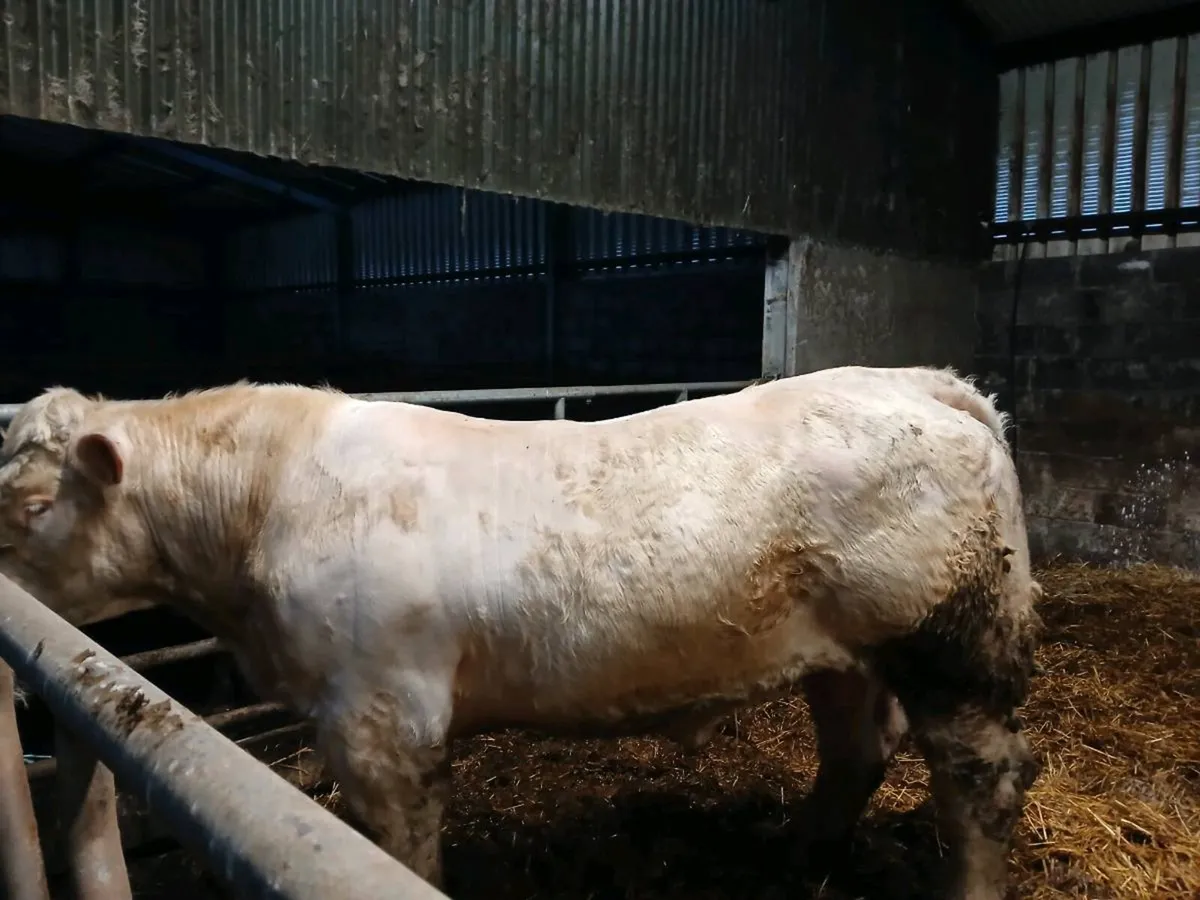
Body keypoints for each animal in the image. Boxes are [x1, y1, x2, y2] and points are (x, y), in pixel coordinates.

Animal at [0, 367, 1042, 900]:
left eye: (36, 505)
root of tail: (921, 382)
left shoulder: (380, 718)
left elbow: (402, 849)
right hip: (843, 654)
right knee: (859, 749)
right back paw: (796, 857)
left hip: (948, 646)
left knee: (982, 782)